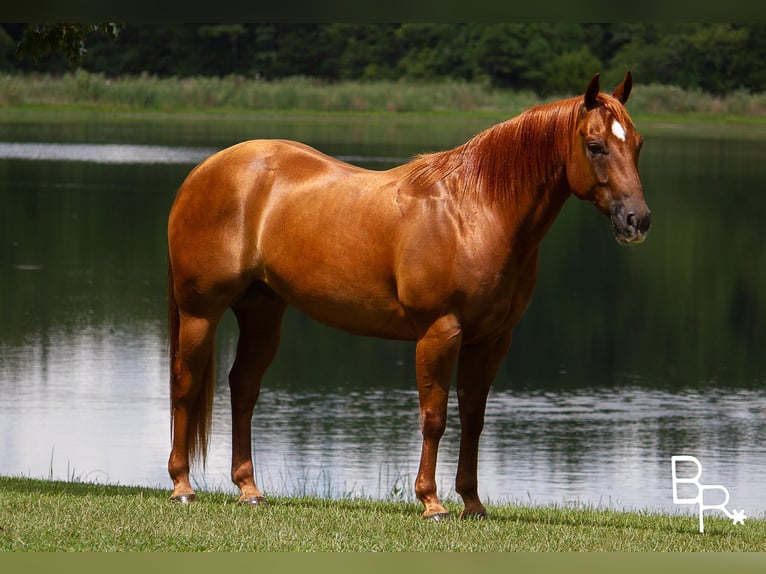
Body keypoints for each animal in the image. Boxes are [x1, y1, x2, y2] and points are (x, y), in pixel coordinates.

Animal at [166, 72, 648, 520]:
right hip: (200, 311)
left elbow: (473, 418)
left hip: (262, 310)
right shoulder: (440, 332)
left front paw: (472, 502)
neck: (474, 212)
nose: (636, 220)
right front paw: (431, 502)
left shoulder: (491, 340)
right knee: (186, 385)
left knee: (244, 386)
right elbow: (434, 418)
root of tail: (201, 171)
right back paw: (182, 486)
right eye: (595, 145)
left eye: (637, 144)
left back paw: (249, 489)